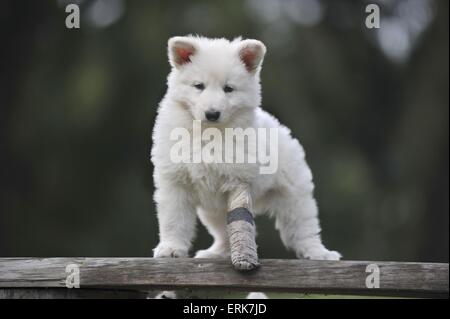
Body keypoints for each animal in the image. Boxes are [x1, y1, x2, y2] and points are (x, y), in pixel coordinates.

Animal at [152, 35, 342, 268]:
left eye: (228, 88)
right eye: (199, 86)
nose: (212, 114)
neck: (209, 133)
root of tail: (281, 127)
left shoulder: (237, 180)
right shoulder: (175, 183)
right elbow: (173, 220)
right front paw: (170, 249)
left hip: (294, 196)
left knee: (303, 228)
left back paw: (319, 253)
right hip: (212, 211)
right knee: (223, 234)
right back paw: (216, 253)